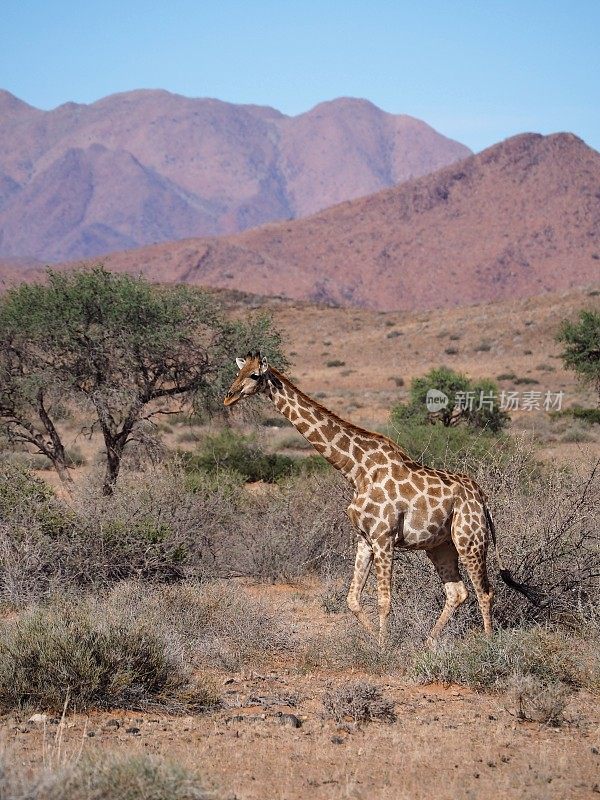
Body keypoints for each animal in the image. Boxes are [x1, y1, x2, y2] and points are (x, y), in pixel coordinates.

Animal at [225, 354, 536, 648]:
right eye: (237, 372)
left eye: (254, 375)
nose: (228, 396)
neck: (356, 470)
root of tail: (483, 498)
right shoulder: (365, 538)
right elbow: (352, 599)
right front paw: (376, 640)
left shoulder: (384, 537)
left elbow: (384, 601)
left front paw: (384, 647)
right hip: (440, 545)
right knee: (457, 591)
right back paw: (428, 644)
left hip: (469, 539)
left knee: (485, 591)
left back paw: (488, 643)